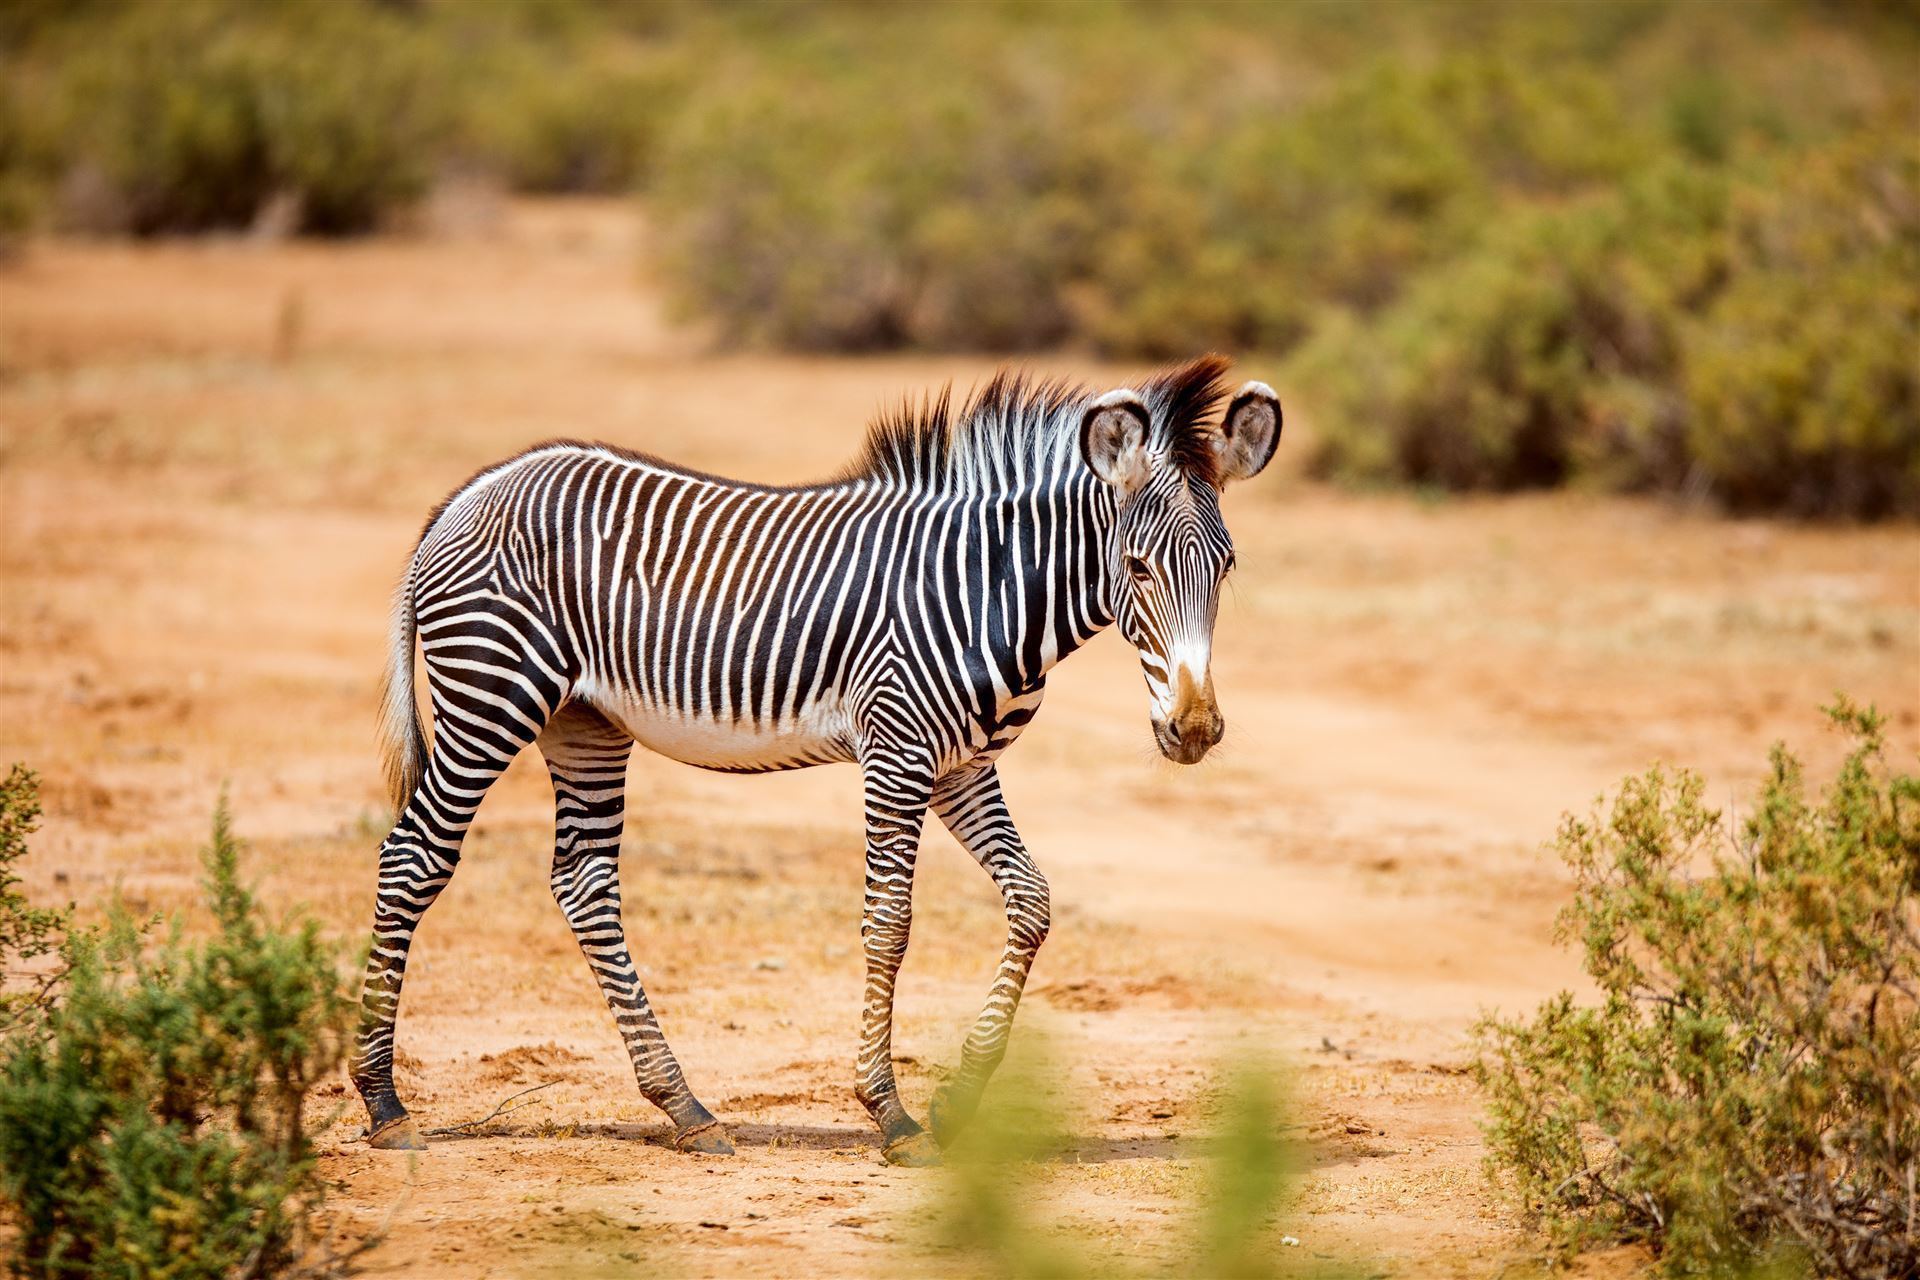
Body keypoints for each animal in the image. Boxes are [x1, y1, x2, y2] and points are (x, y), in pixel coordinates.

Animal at [350, 354, 1280, 1166]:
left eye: (1227, 566)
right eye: (1137, 567)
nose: (1194, 729)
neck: (994, 590)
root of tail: (468, 493)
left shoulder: (961, 766)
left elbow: (1032, 902)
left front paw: (959, 1099)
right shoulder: (897, 749)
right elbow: (890, 923)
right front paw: (891, 1114)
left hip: (585, 723)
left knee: (584, 883)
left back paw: (686, 1108)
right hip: (491, 698)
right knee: (411, 858)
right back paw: (385, 1104)